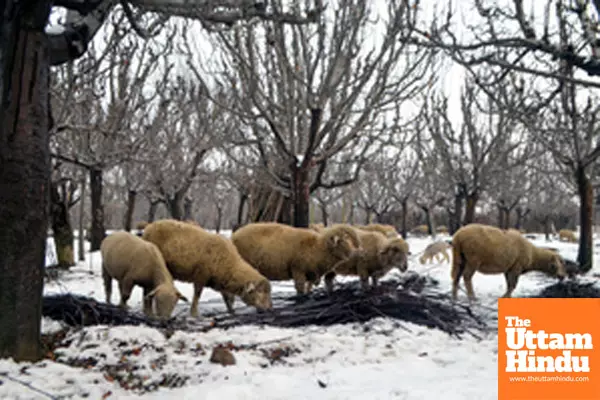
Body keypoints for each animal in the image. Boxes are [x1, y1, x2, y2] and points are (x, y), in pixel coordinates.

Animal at [142, 220, 274, 318]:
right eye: (260, 292)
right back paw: (148, 312)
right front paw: (194, 313)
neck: (229, 264)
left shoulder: (221, 280)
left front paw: (231, 311)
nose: (269, 308)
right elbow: (197, 295)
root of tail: (149, 227)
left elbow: (227, 297)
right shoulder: (201, 276)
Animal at [230, 222, 360, 294]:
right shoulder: (298, 270)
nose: (355, 252)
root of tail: (233, 237)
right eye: (343, 242)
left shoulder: (311, 275)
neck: (318, 248)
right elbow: (300, 290)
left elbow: (308, 290)